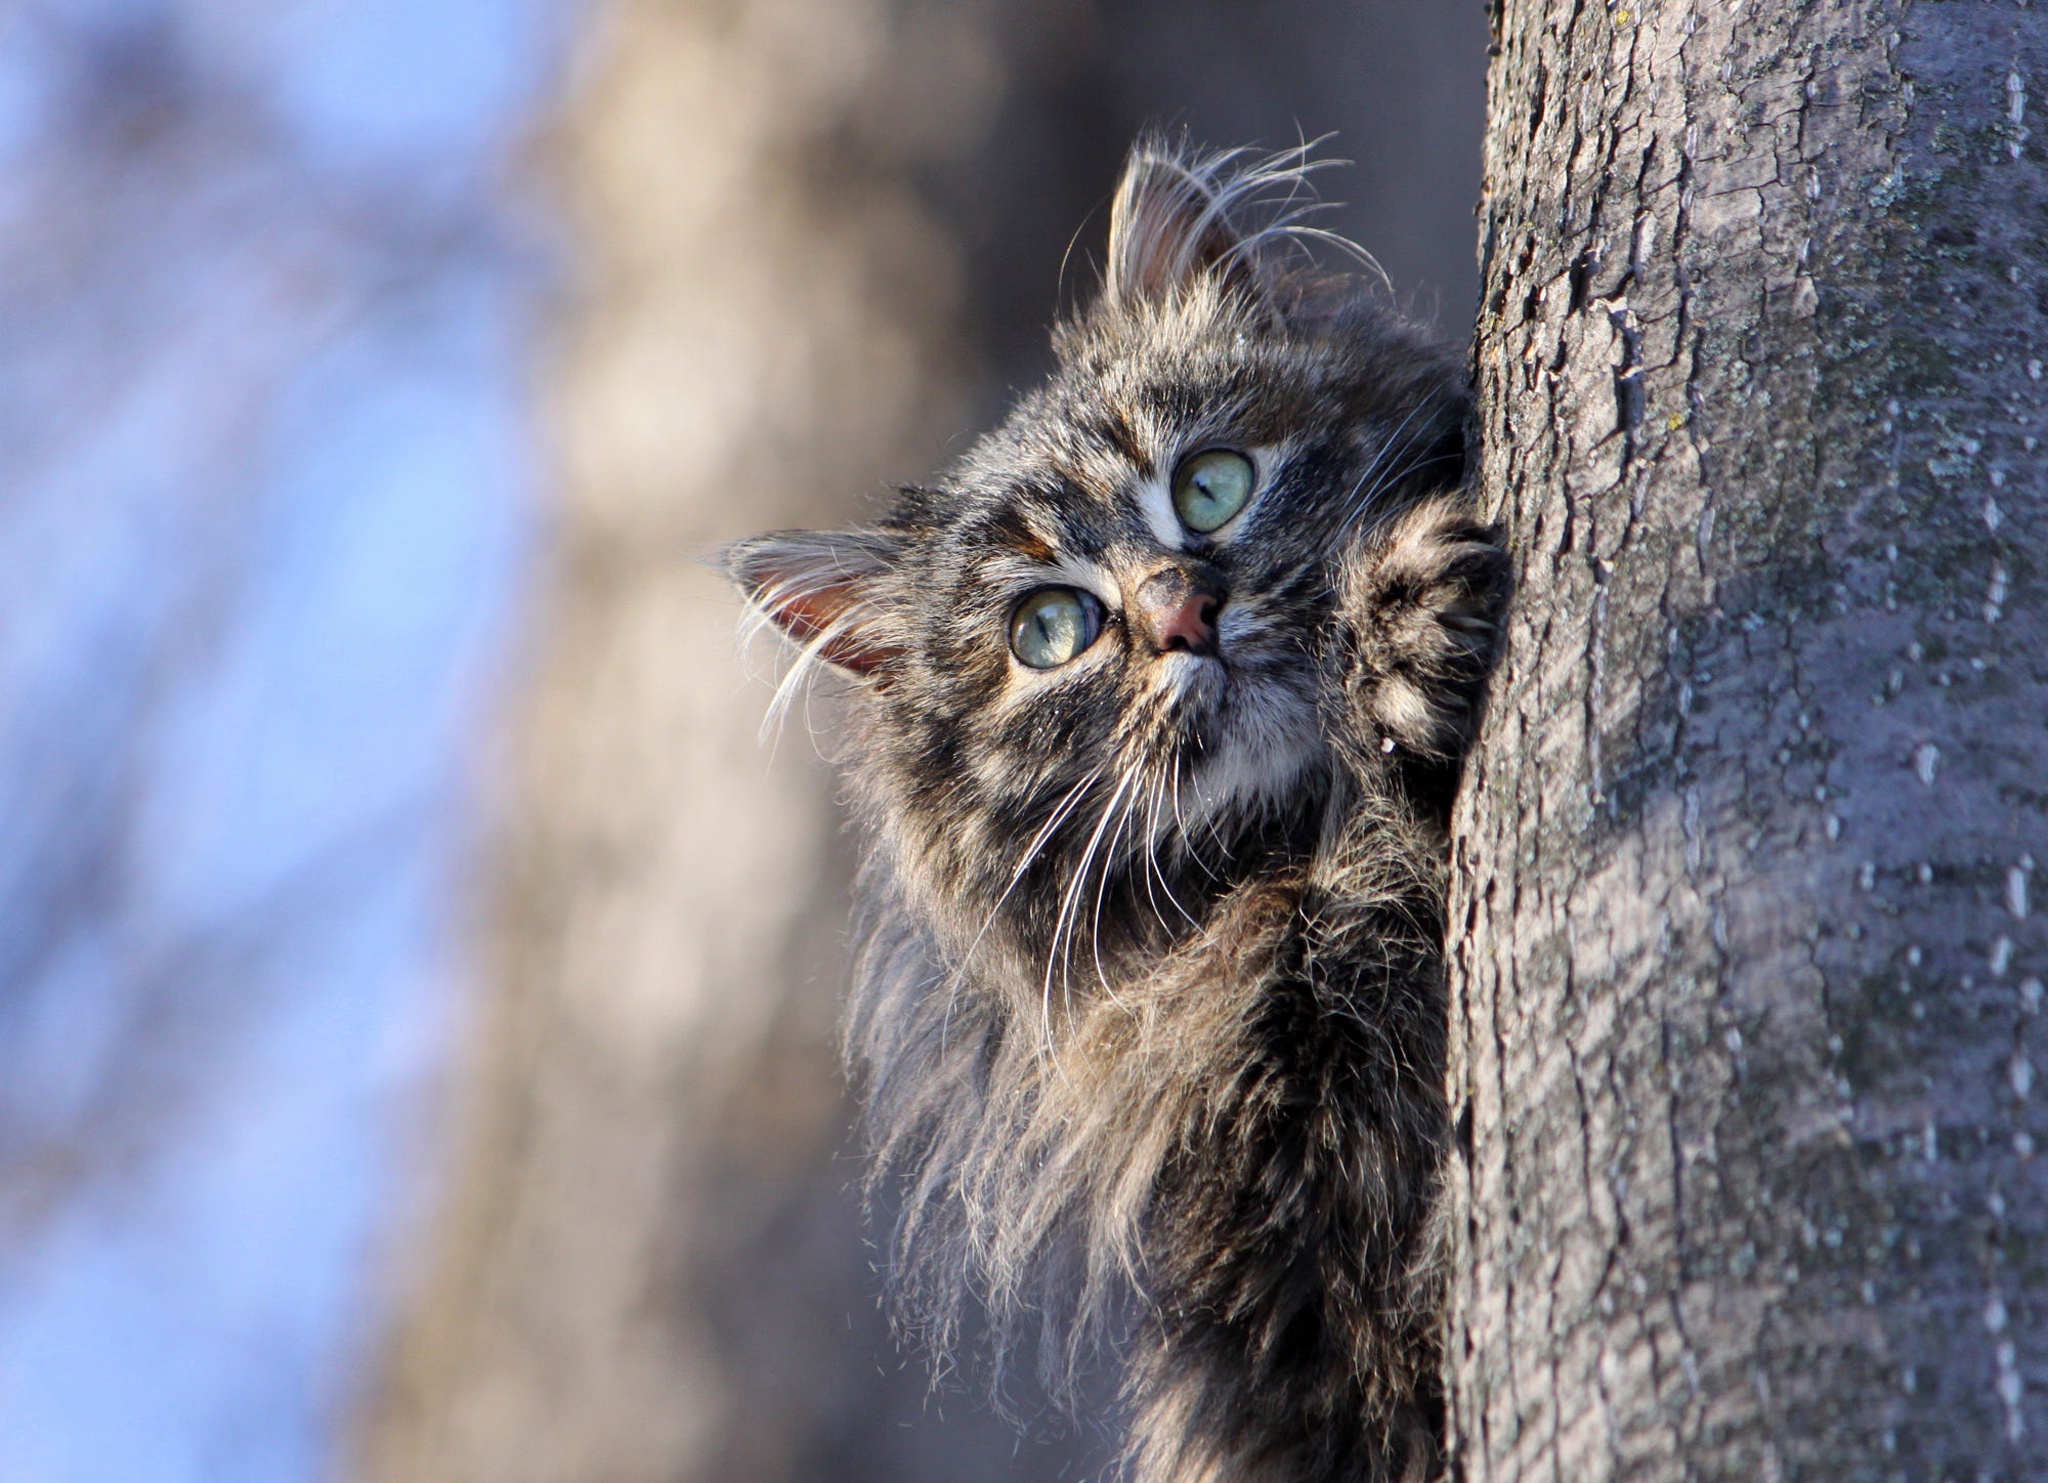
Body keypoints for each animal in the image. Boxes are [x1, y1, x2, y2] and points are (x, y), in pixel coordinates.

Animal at [720, 139, 1507, 1483]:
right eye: (1049, 630)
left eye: (1210, 485)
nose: (1181, 612)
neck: (1311, 858)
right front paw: (1400, 656)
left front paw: (1398, 637)